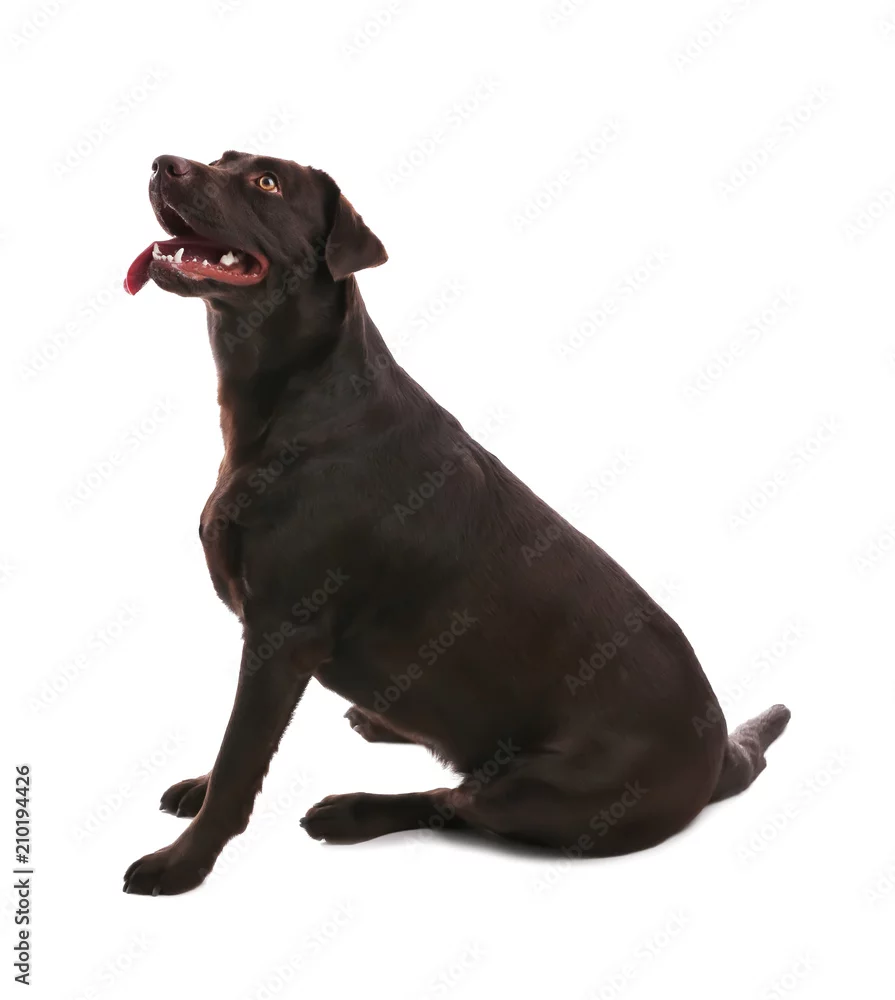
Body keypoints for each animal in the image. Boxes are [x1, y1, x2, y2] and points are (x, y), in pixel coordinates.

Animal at [121, 151, 791, 895]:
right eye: (221, 160)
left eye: (266, 183)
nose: (164, 164)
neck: (290, 400)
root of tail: (718, 753)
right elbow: (233, 749)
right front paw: (196, 792)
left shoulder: (281, 633)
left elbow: (241, 756)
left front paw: (183, 861)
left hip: (547, 789)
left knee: (456, 802)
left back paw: (351, 811)